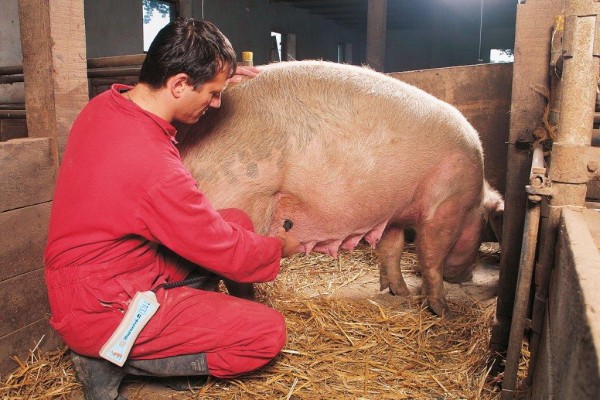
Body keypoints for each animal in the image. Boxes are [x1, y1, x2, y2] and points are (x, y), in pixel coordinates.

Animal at [176, 60, 504, 316]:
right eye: (483, 230)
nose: (467, 276)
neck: (473, 202)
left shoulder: (393, 212)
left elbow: (392, 248)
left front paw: (399, 293)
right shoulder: (446, 205)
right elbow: (431, 256)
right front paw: (442, 311)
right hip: (244, 199)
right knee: (236, 270)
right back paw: (256, 304)